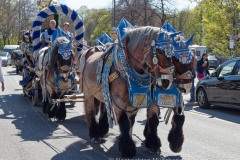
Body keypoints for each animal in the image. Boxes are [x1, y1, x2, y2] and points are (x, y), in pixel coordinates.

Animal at [79, 26, 181, 158]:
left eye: (172, 53)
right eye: (159, 52)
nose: (166, 82)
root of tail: (90, 52)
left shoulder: (139, 99)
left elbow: (147, 120)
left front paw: (152, 144)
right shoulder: (118, 101)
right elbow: (124, 122)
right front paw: (127, 149)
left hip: (103, 94)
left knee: (104, 107)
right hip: (89, 94)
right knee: (91, 111)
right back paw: (95, 135)